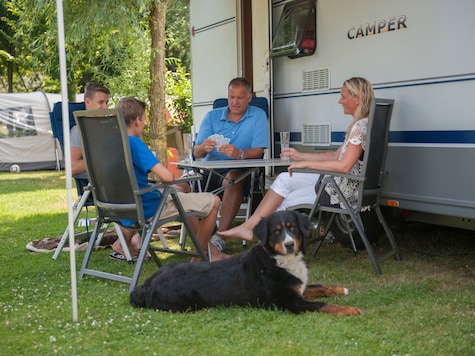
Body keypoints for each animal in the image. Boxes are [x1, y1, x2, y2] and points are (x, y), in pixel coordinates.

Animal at [129, 210, 360, 316]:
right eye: (276, 232)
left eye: (292, 227)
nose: (289, 244)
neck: (276, 260)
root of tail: (145, 286)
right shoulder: (289, 302)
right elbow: (323, 305)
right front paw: (350, 309)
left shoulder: (297, 288)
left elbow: (318, 286)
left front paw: (341, 289)